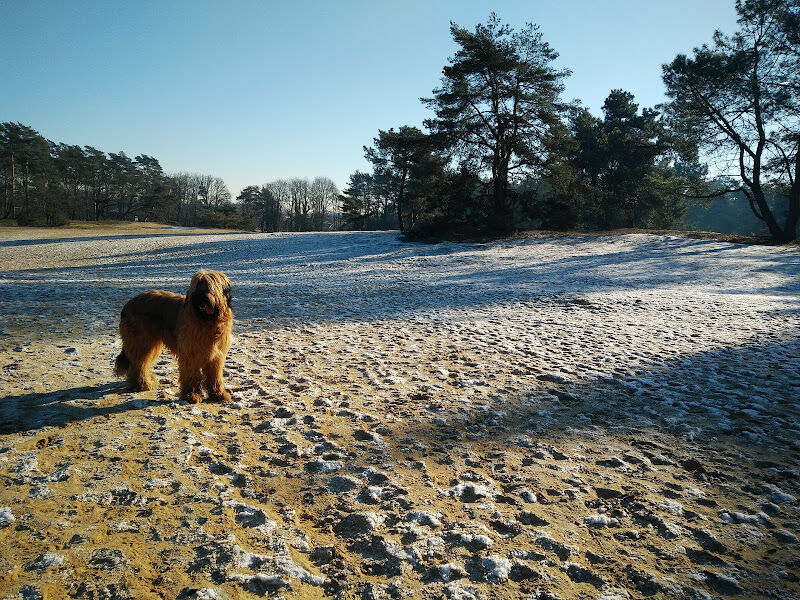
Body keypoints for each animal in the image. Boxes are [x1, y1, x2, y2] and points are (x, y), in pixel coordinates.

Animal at [115, 270, 234, 404]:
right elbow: (191, 375)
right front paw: (191, 395)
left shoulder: (216, 356)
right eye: (197, 285)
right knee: (138, 365)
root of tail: (127, 305)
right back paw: (143, 384)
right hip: (141, 342)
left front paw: (219, 394)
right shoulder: (190, 354)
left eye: (209, 286)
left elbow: (215, 376)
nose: (199, 297)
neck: (207, 321)